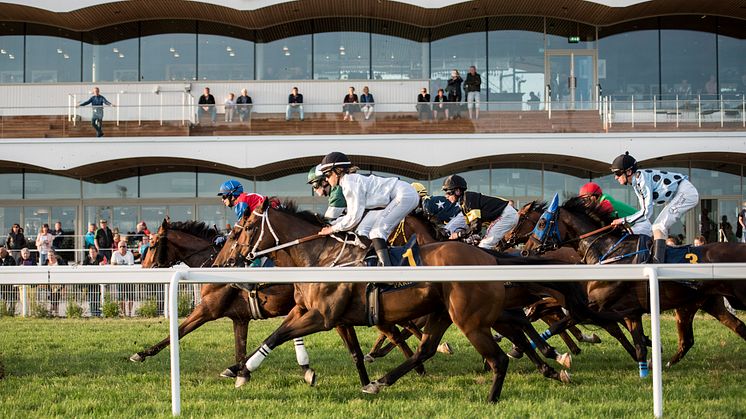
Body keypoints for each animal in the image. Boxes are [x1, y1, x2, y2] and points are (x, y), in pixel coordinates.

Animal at [212, 200, 584, 404]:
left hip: (469, 319)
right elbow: (280, 336)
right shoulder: (313, 312)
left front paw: (243, 373)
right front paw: (242, 370)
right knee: (429, 348)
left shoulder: (322, 316)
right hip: (446, 313)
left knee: (499, 356)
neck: (321, 256)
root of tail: (489, 257)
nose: (222, 263)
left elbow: (278, 335)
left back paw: (499, 394)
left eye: (241, 230)